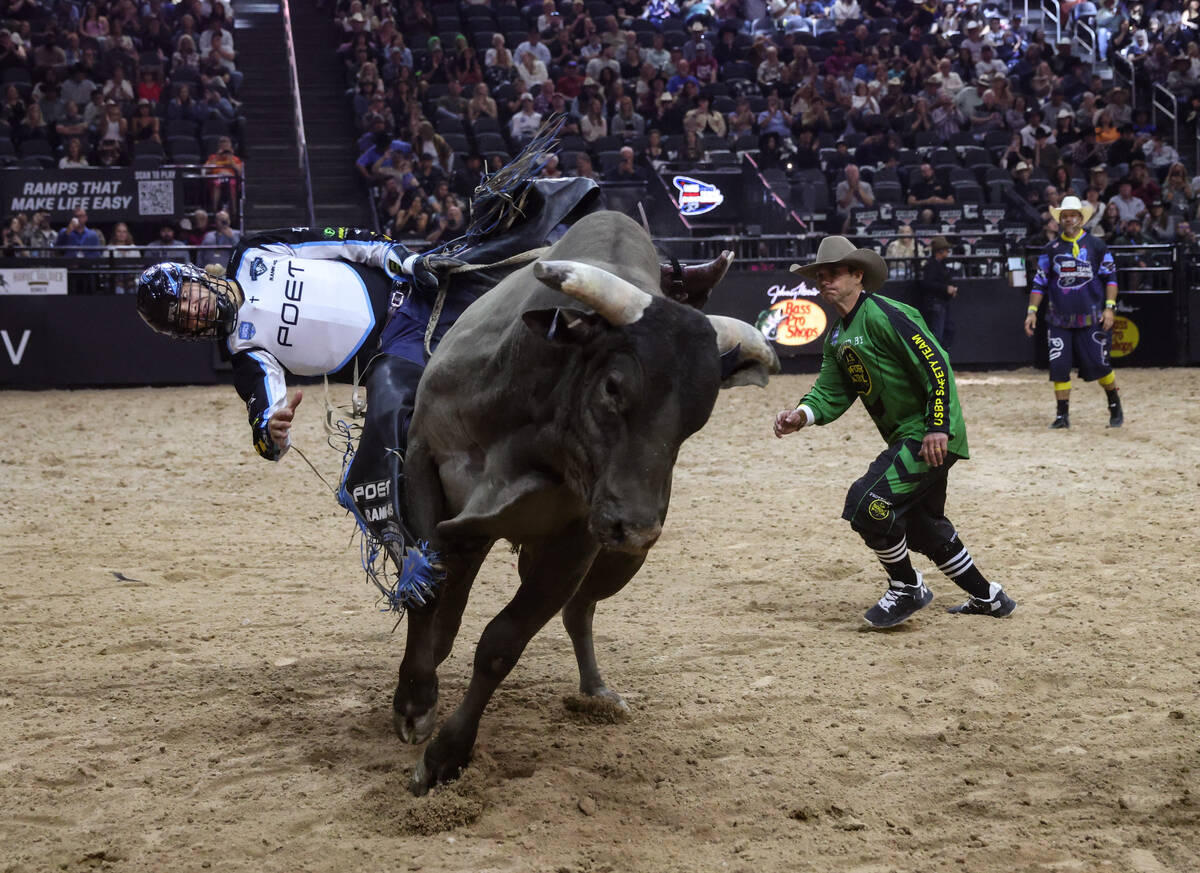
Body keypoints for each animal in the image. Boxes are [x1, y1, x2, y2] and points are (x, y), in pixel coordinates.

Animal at [393, 213, 772, 796]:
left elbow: (503, 642)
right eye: (614, 386)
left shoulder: (575, 538)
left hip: (610, 562)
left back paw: (595, 691)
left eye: (700, 415)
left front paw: (445, 757)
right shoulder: (421, 463)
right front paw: (414, 703)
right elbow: (425, 590)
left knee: (579, 610)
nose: (635, 528)